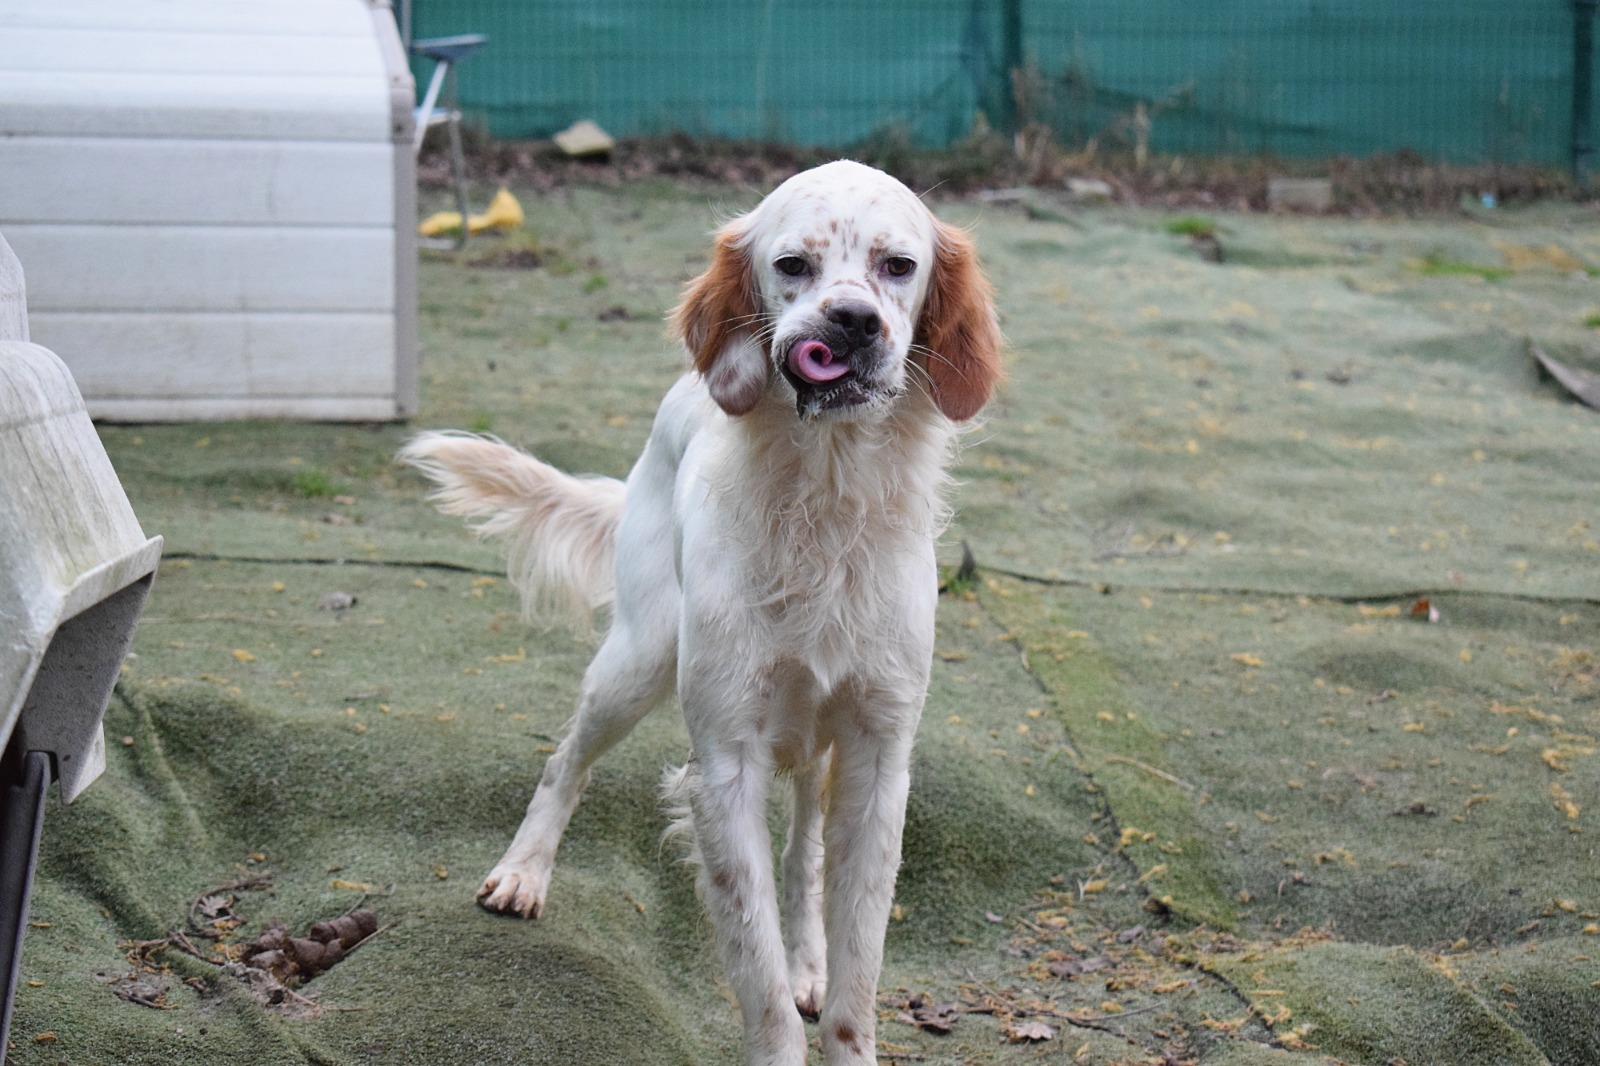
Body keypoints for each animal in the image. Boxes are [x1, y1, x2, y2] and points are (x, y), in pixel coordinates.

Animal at [401, 159, 1002, 1065]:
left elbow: (856, 972)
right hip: (638, 661)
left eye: (898, 266)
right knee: (565, 761)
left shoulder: (878, 757)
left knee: (804, 855)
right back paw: (524, 871)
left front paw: (825, 988)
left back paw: (808, 958)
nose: (853, 322)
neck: (824, 500)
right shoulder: (725, 764)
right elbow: (758, 980)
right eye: (792, 265)